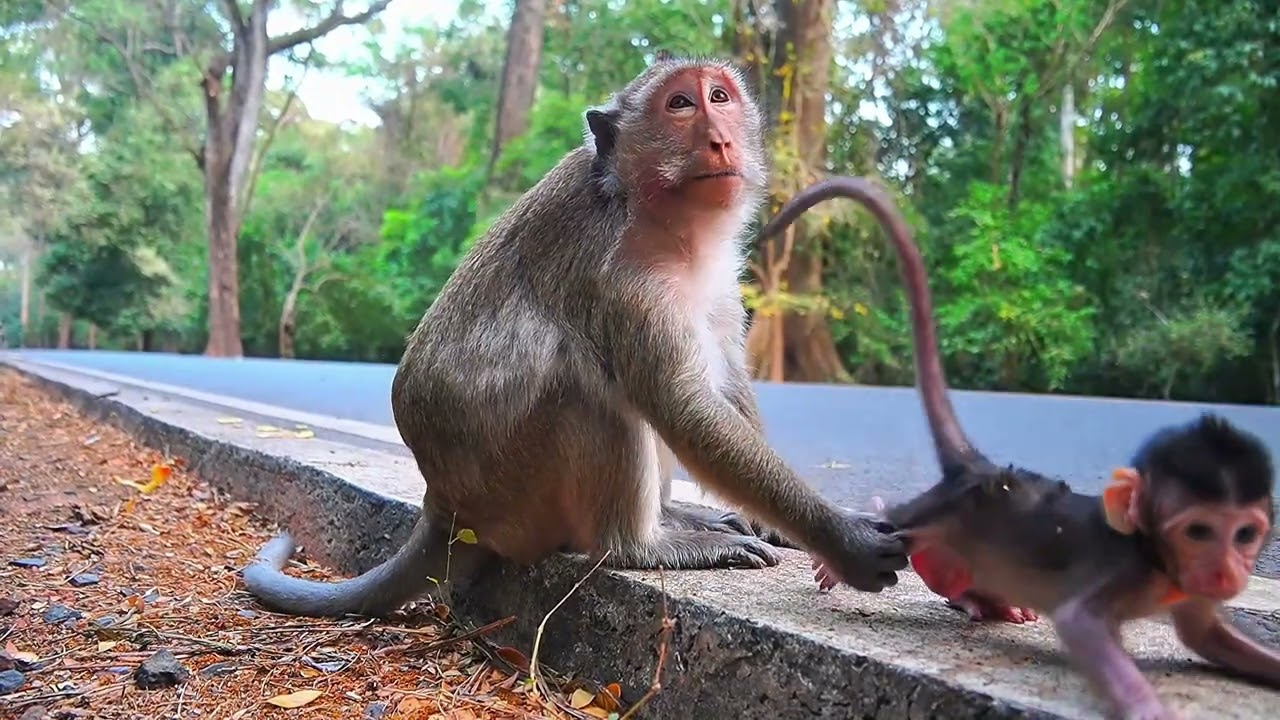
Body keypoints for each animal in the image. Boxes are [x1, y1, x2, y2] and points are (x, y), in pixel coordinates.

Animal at [240, 56, 908, 620]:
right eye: (680, 105)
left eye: (719, 97)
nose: (720, 137)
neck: (657, 216)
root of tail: (444, 503)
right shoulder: (624, 281)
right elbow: (683, 407)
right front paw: (839, 536)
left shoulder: (718, 278)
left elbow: (722, 380)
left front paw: (774, 521)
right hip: (511, 491)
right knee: (586, 384)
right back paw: (642, 545)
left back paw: (676, 515)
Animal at [779, 177, 1280, 719]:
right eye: (1199, 531)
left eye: (1246, 534)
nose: (1228, 571)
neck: (1154, 558)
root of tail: (981, 471)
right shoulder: (1119, 573)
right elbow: (1080, 623)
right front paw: (1146, 708)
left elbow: (1206, 637)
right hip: (941, 516)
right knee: (897, 528)